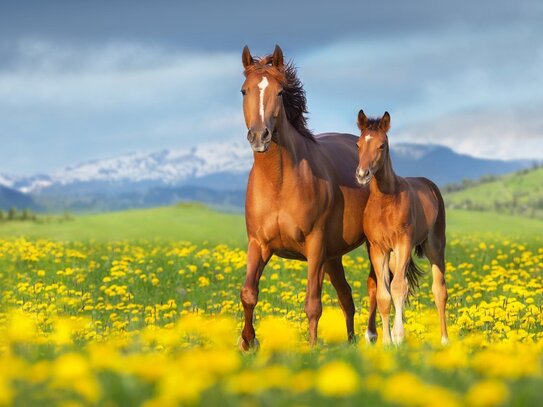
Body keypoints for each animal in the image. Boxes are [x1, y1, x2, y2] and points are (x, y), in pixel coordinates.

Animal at [240, 45, 376, 350]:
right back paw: (351, 342)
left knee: (378, 287)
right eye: (244, 91)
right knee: (347, 298)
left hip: (369, 247)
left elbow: (313, 303)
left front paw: (312, 349)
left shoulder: (315, 246)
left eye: (280, 92)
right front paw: (247, 342)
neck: (278, 183)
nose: (259, 136)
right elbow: (248, 293)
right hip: (333, 256)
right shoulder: (258, 244)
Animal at [354, 110, 448, 346]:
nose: (362, 174)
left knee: (439, 290)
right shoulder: (378, 249)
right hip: (395, 258)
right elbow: (384, 294)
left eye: (382, 145)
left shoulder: (403, 243)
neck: (385, 201)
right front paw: (387, 342)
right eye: (358, 144)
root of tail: (430, 185)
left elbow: (396, 288)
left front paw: (398, 338)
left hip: (434, 247)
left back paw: (445, 340)